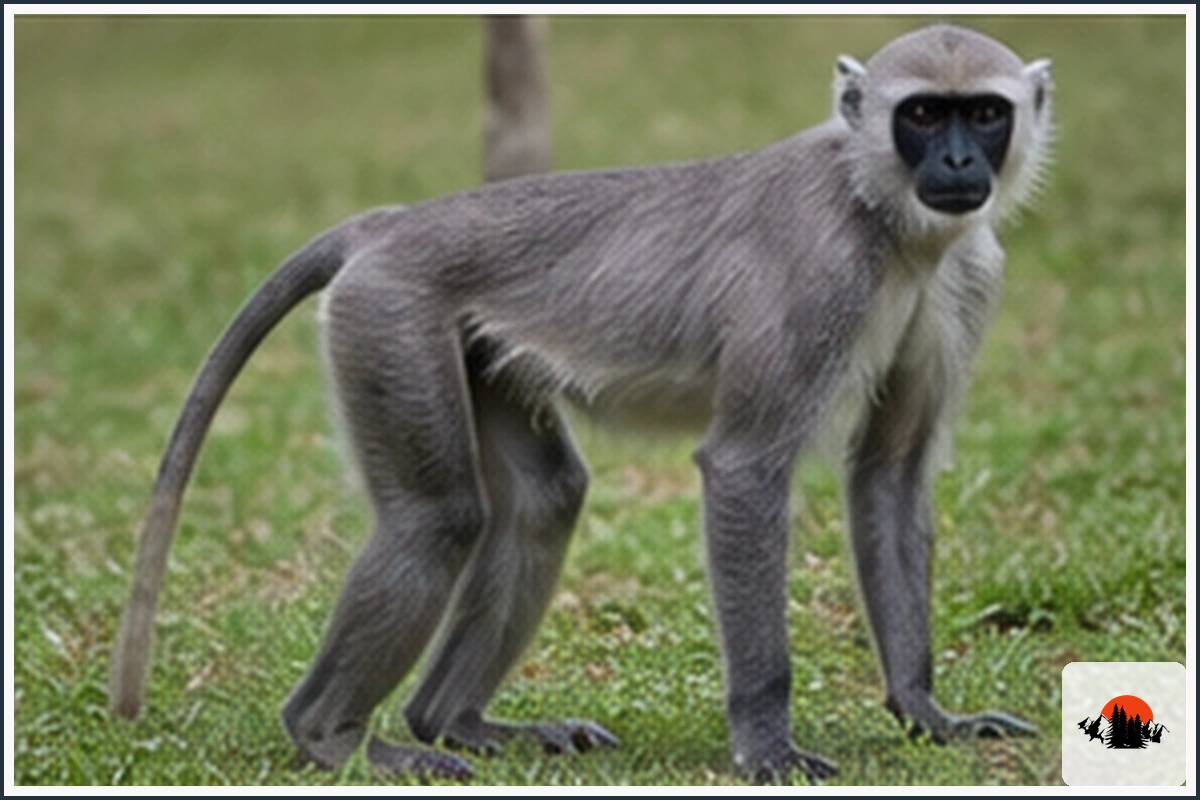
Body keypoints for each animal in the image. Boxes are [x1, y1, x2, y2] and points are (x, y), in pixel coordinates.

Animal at [110, 24, 1052, 783]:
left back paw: (456, 723)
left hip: (459, 343)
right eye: (923, 116)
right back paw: (332, 737)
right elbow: (744, 467)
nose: (959, 163)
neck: (881, 213)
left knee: (542, 498)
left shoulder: (968, 273)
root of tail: (389, 226)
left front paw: (925, 711)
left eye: (983, 114)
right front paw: (765, 747)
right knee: (437, 518)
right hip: (391, 315)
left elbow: (890, 472)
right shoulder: (822, 274)